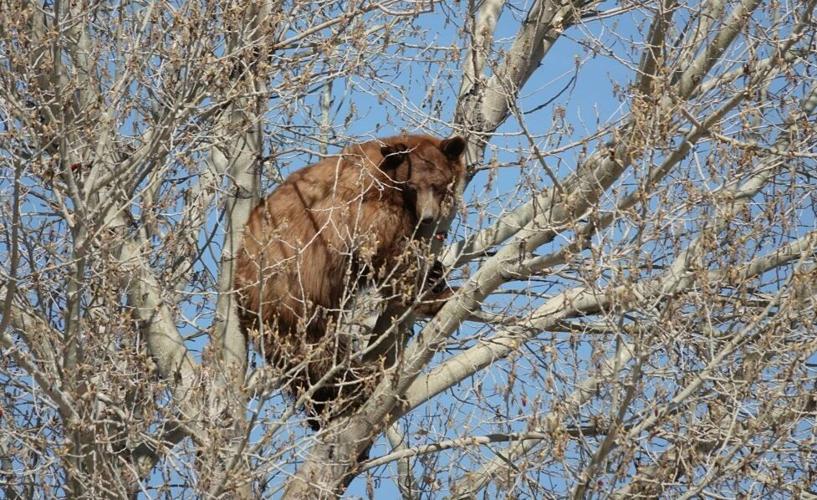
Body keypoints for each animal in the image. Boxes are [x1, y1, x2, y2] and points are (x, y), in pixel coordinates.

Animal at [234, 134, 466, 429]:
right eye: (414, 186)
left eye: (438, 185)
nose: (428, 217)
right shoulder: (363, 213)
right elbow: (389, 258)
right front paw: (431, 294)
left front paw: (436, 273)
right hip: (290, 295)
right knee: (317, 349)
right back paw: (354, 385)